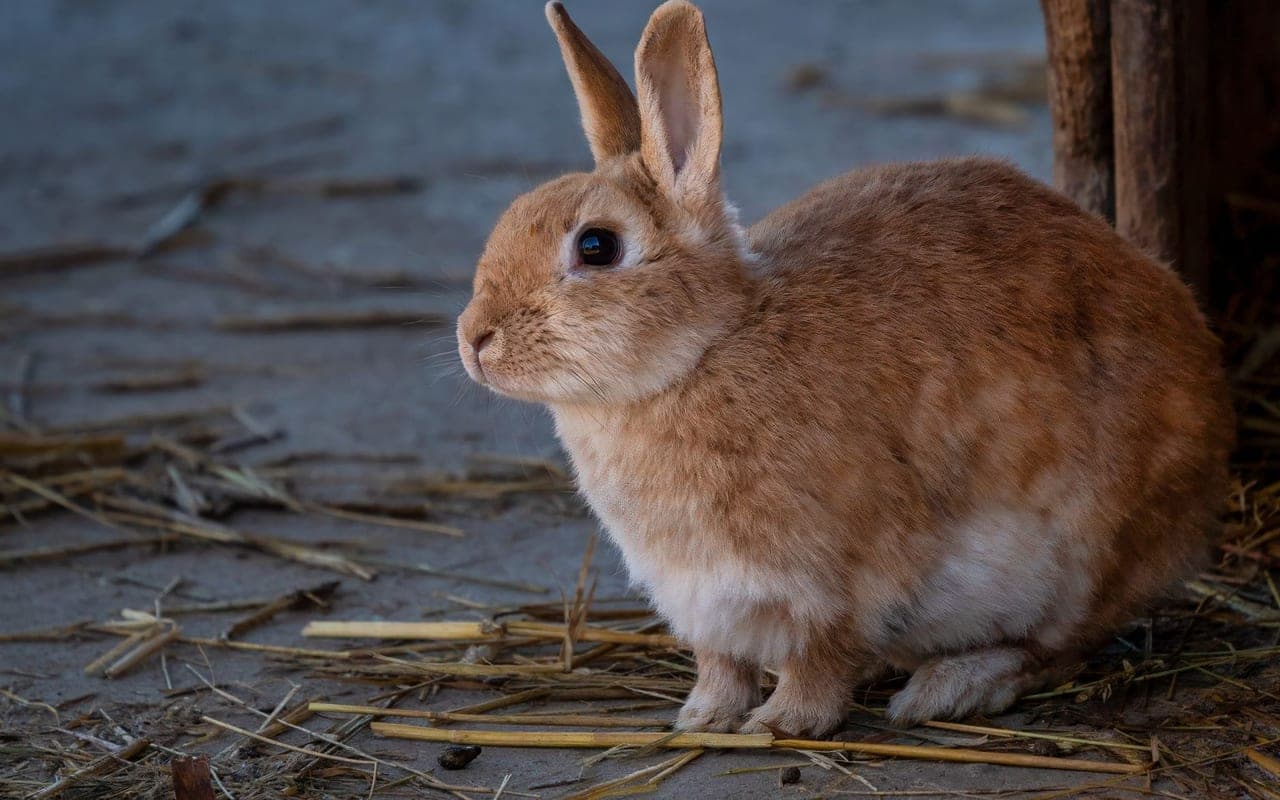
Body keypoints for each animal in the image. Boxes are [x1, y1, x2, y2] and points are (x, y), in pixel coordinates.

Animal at [455, 0, 1234, 737]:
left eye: (597, 247)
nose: (473, 340)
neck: (705, 350)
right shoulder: (703, 602)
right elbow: (721, 664)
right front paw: (703, 718)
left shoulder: (838, 583)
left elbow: (819, 659)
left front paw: (782, 724)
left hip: (1080, 557)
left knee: (1059, 648)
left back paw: (948, 688)